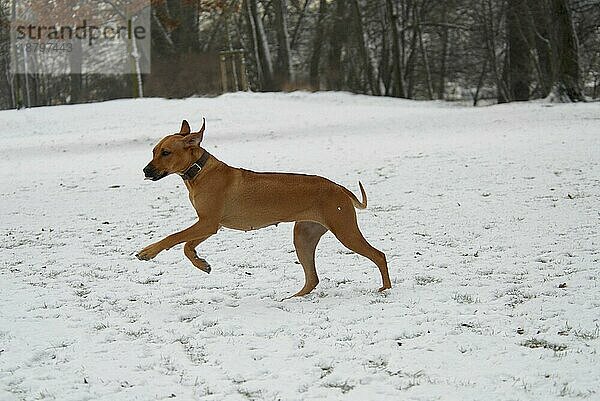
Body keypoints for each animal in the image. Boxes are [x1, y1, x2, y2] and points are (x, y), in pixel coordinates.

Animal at [136, 117, 392, 296]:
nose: (145, 171)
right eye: (153, 151)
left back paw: (386, 288)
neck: (199, 171)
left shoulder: (207, 223)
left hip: (344, 229)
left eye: (166, 152)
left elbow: (174, 237)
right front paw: (202, 264)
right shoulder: (209, 224)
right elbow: (187, 246)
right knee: (312, 279)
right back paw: (293, 298)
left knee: (379, 255)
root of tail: (338, 187)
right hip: (304, 235)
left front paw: (148, 251)